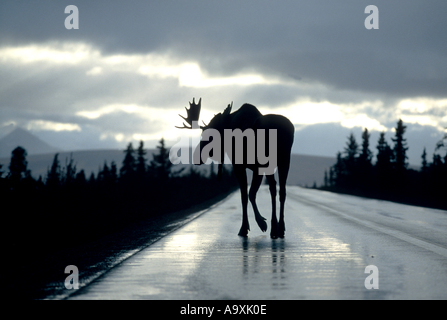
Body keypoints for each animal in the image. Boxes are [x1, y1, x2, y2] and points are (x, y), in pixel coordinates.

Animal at [177, 99, 296, 239]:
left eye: (211, 136)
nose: (196, 158)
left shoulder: (240, 165)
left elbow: (247, 195)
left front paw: (254, 225)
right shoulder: (254, 167)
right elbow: (248, 194)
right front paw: (252, 225)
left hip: (271, 161)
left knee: (273, 187)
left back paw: (274, 228)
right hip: (284, 161)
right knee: (280, 190)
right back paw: (280, 228)